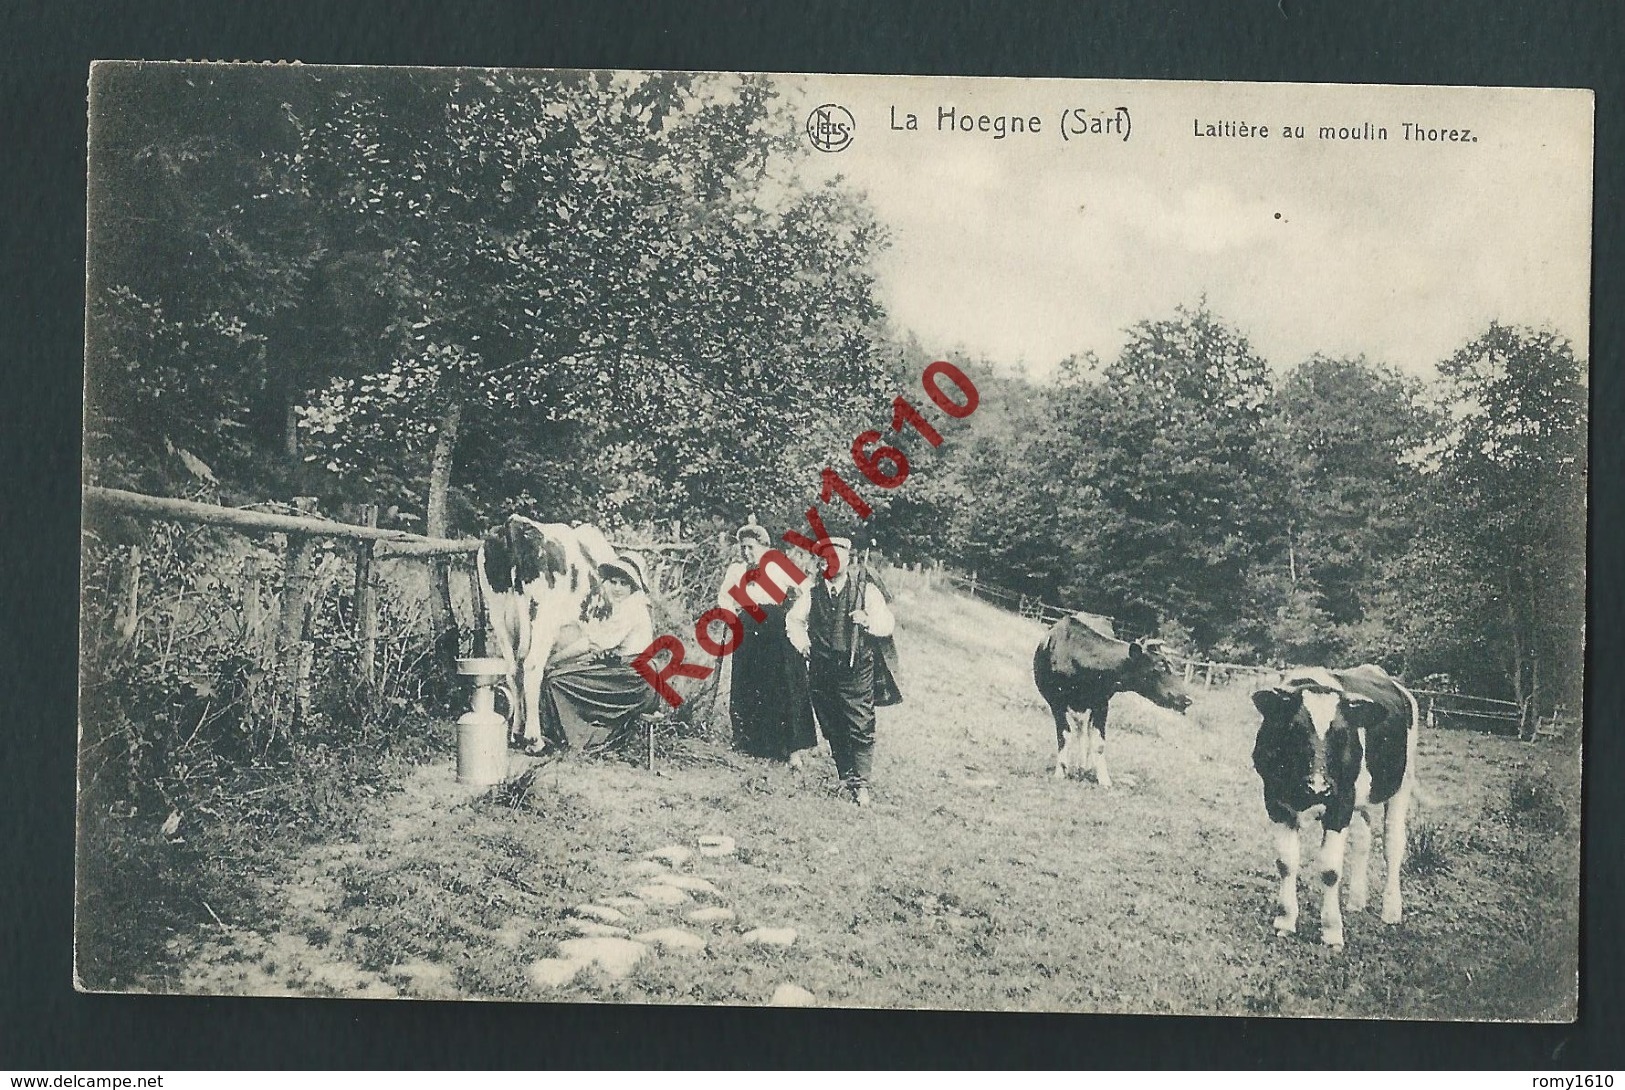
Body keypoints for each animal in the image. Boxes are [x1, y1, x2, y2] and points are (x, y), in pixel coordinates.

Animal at [1040, 614, 1196, 786]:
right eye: (1159, 667)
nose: (1187, 699)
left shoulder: (1101, 703)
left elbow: (1099, 743)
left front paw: (1103, 779)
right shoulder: (1055, 702)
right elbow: (1063, 735)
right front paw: (1060, 772)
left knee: (1086, 730)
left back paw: (1085, 767)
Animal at [1248, 666, 1417, 948]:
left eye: (1342, 733)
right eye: (1295, 729)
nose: (1318, 788)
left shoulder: (1341, 802)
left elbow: (1329, 870)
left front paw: (1331, 931)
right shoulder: (1275, 800)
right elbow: (1285, 862)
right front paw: (1285, 921)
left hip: (1401, 783)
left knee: (1393, 845)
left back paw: (1391, 911)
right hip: (1361, 799)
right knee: (1363, 841)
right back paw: (1356, 901)